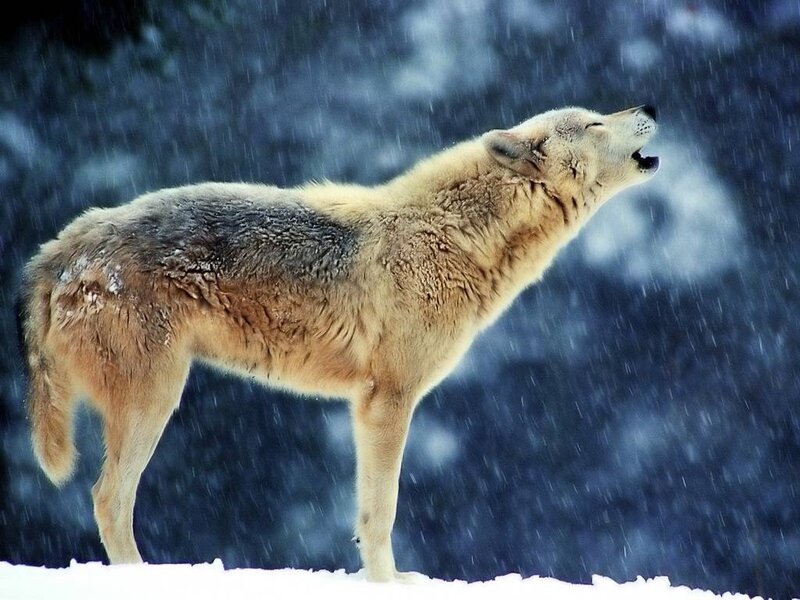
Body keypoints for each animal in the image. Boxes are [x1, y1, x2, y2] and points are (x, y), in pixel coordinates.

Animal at [17, 105, 658, 581]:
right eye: (595, 122)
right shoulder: (388, 400)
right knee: (108, 499)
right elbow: (381, 512)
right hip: (155, 400)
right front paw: (388, 584)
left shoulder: (370, 404)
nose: (649, 107)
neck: (454, 236)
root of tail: (65, 245)